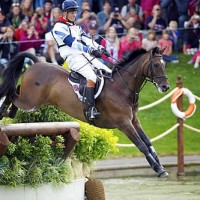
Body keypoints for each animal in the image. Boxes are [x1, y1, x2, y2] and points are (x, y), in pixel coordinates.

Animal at [0, 46, 170, 177]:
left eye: (164, 64)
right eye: (156, 65)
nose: (165, 87)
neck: (122, 88)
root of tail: (37, 63)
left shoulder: (134, 120)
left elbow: (148, 142)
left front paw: (160, 166)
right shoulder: (124, 124)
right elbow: (141, 145)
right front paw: (158, 169)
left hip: (32, 100)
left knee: (16, 90)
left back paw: (8, 112)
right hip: (31, 102)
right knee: (11, 93)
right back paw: (4, 112)